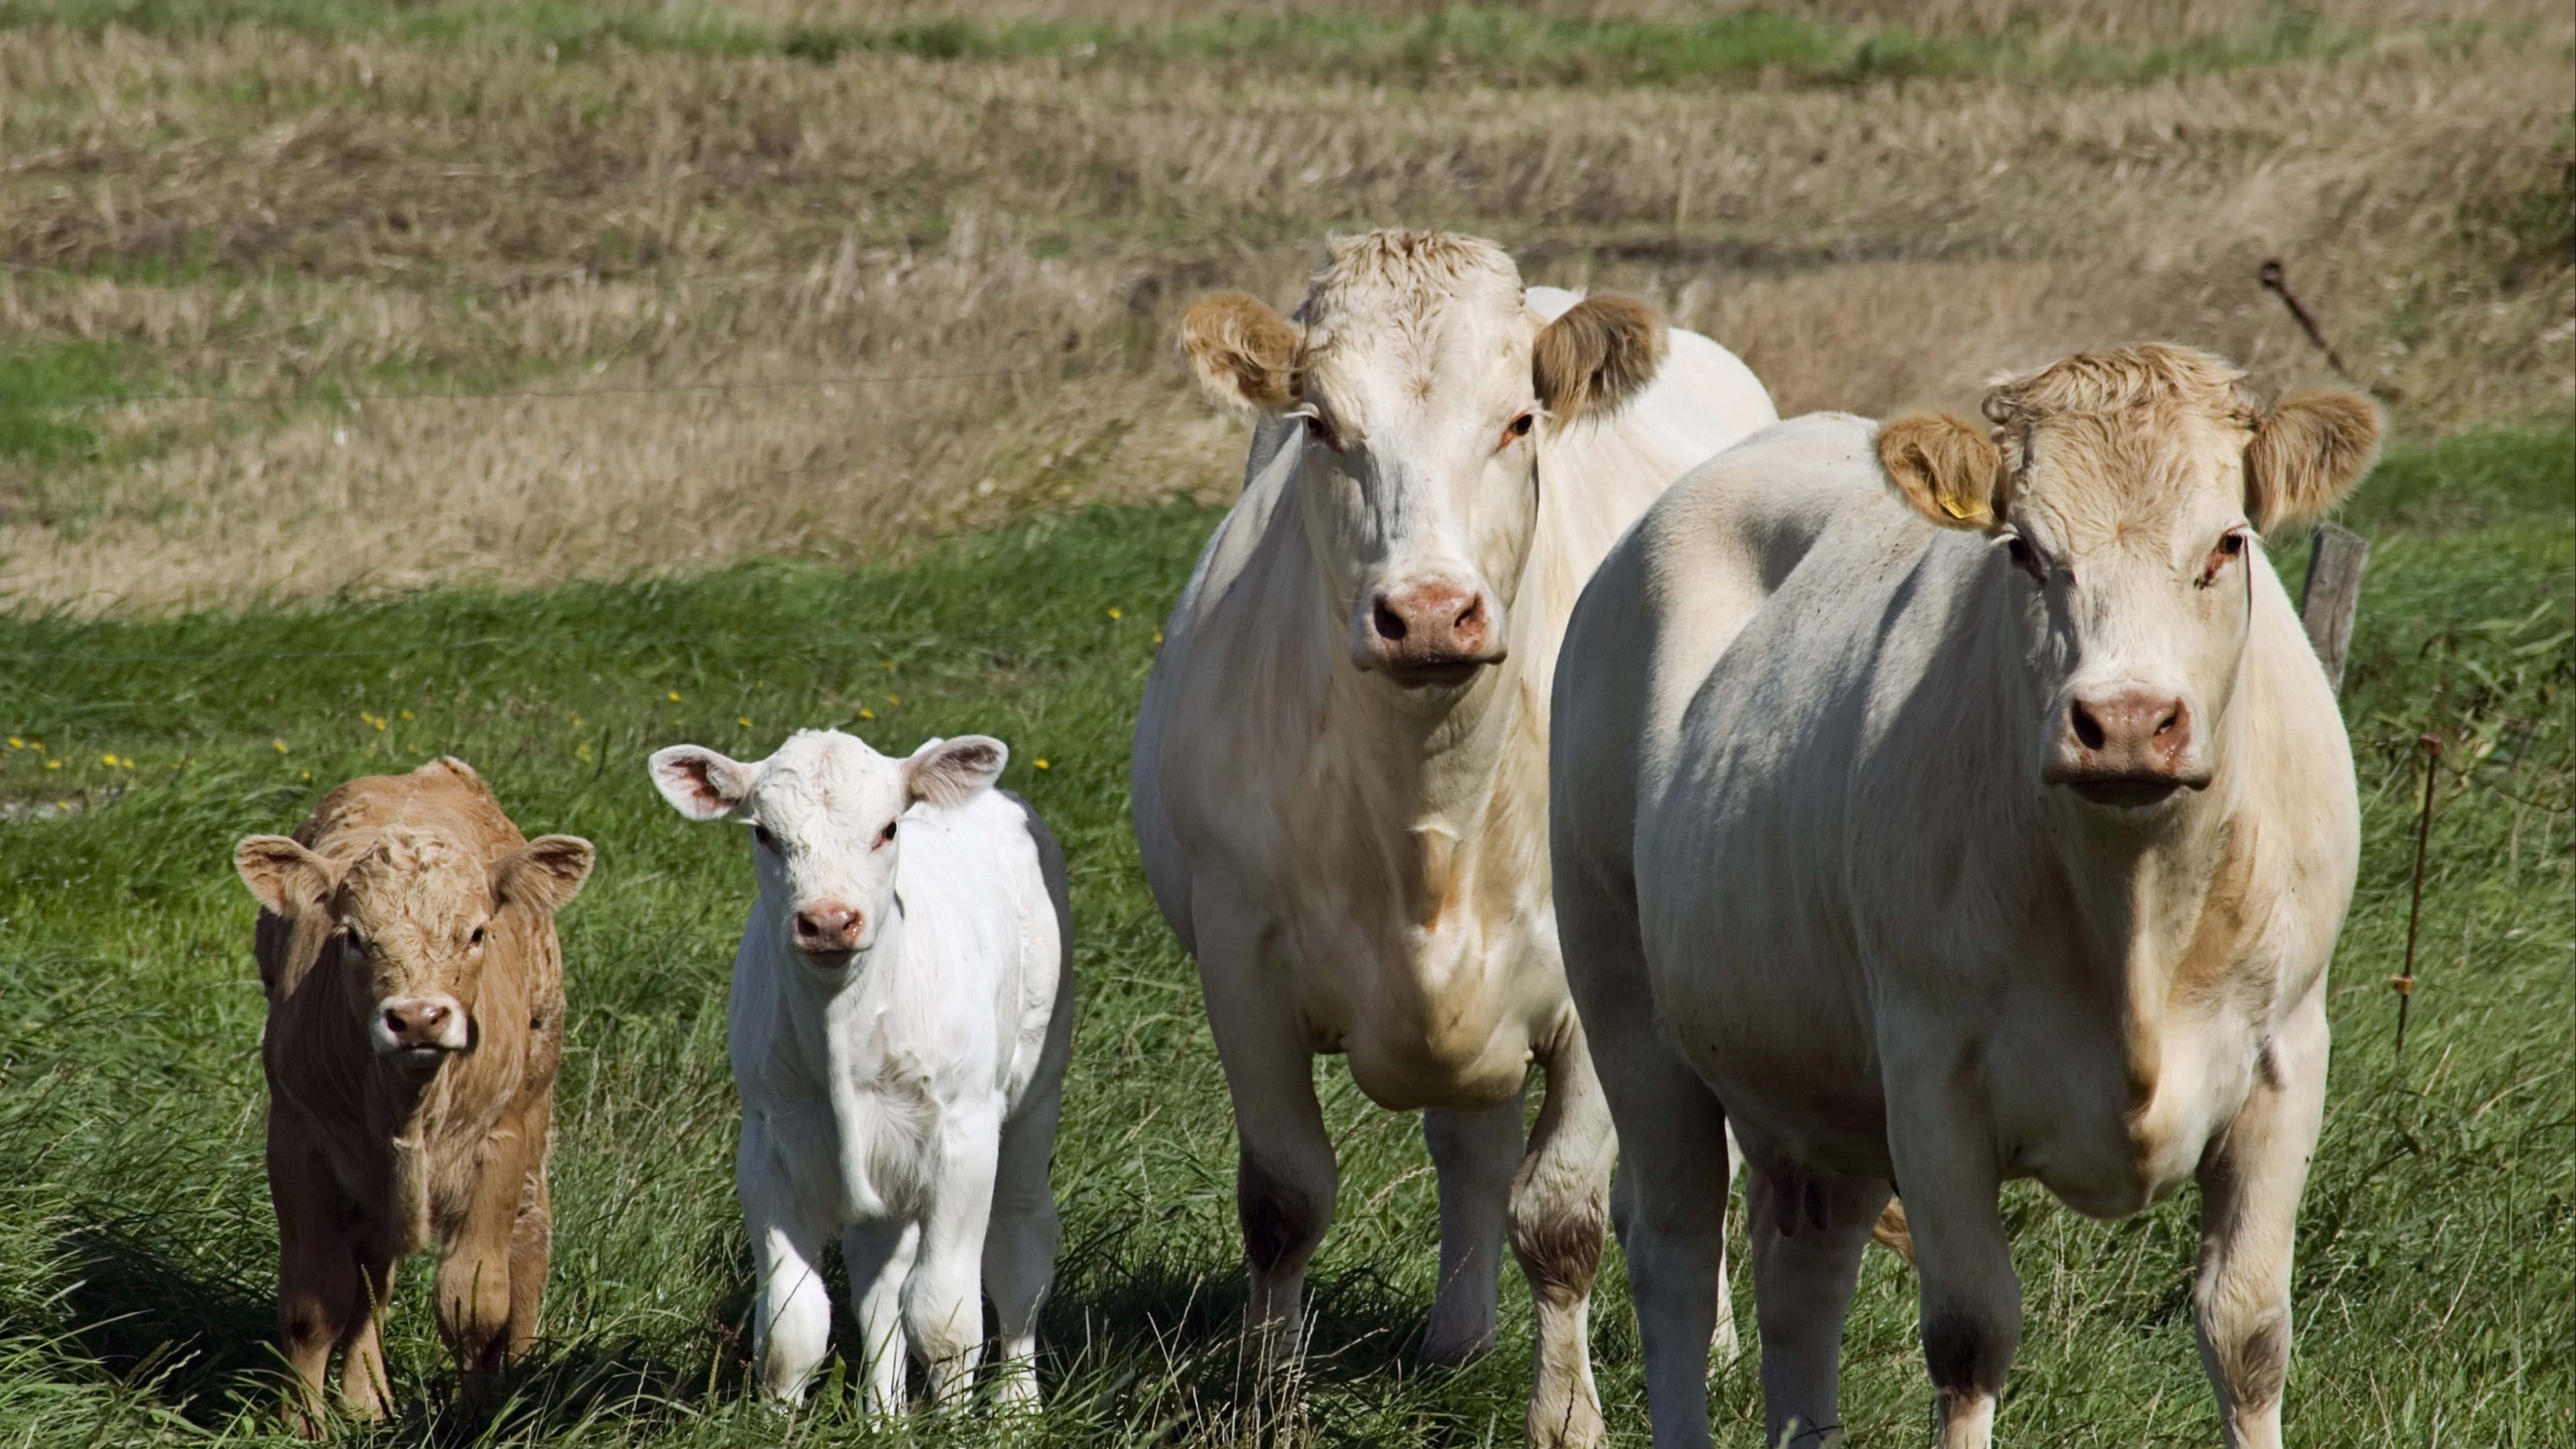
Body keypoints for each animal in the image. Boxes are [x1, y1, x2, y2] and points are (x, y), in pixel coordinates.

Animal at [233, 757, 595, 1436]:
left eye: (476, 933)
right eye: (353, 936)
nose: (419, 1018)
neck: (410, 1102)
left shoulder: (499, 1146)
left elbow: (474, 1305)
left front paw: (479, 1421)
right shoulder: (297, 1140)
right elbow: (315, 1301)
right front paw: (303, 1424)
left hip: (535, 1108)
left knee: (529, 1236)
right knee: (374, 1273)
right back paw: (365, 1400)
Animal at [647, 728, 1072, 1414]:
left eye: (887, 828)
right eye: (764, 833)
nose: (828, 920)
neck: (842, 1030)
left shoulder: (963, 1137)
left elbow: (945, 1318)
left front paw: (957, 1424)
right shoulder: (767, 1147)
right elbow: (792, 1329)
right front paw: (775, 1423)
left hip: (1036, 1090)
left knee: (1020, 1252)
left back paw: (1016, 1412)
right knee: (879, 1283)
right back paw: (885, 1419)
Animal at [1131, 229, 1778, 1446]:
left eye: (1519, 420)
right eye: (1321, 424)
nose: (1429, 612)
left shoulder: (1594, 984)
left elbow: (1564, 1217)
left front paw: (1566, 1418)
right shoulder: (1241, 962)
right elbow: (1284, 1200)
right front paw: (1271, 1399)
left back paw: (1713, 1343)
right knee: (1470, 1146)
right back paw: (1458, 1338)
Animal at [1548, 345, 2378, 1449]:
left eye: (2227, 544)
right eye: (2024, 550)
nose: (2125, 722)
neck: (2134, 915)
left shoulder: (2288, 1058)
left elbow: (2247, 1333)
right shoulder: (1931, 1076)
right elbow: (1972, 1336)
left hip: (1812, 1082)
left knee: (1801, 1279)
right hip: (1625, 1005)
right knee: (1673, 1251)